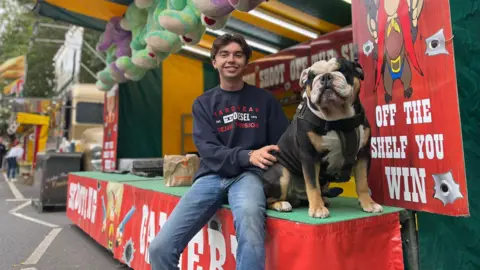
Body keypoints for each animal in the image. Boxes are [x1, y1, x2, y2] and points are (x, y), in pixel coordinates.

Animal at [260, 58, 384, 218]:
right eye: (312, 77)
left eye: (341, 70)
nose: (325, 77)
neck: (338, 118)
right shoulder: (309, 156)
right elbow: (313, 185)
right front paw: (317, 209)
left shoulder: (363, 154)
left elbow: (362, 182)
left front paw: (369, 203)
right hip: (281, 173)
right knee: (269, 199)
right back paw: (282, 204)